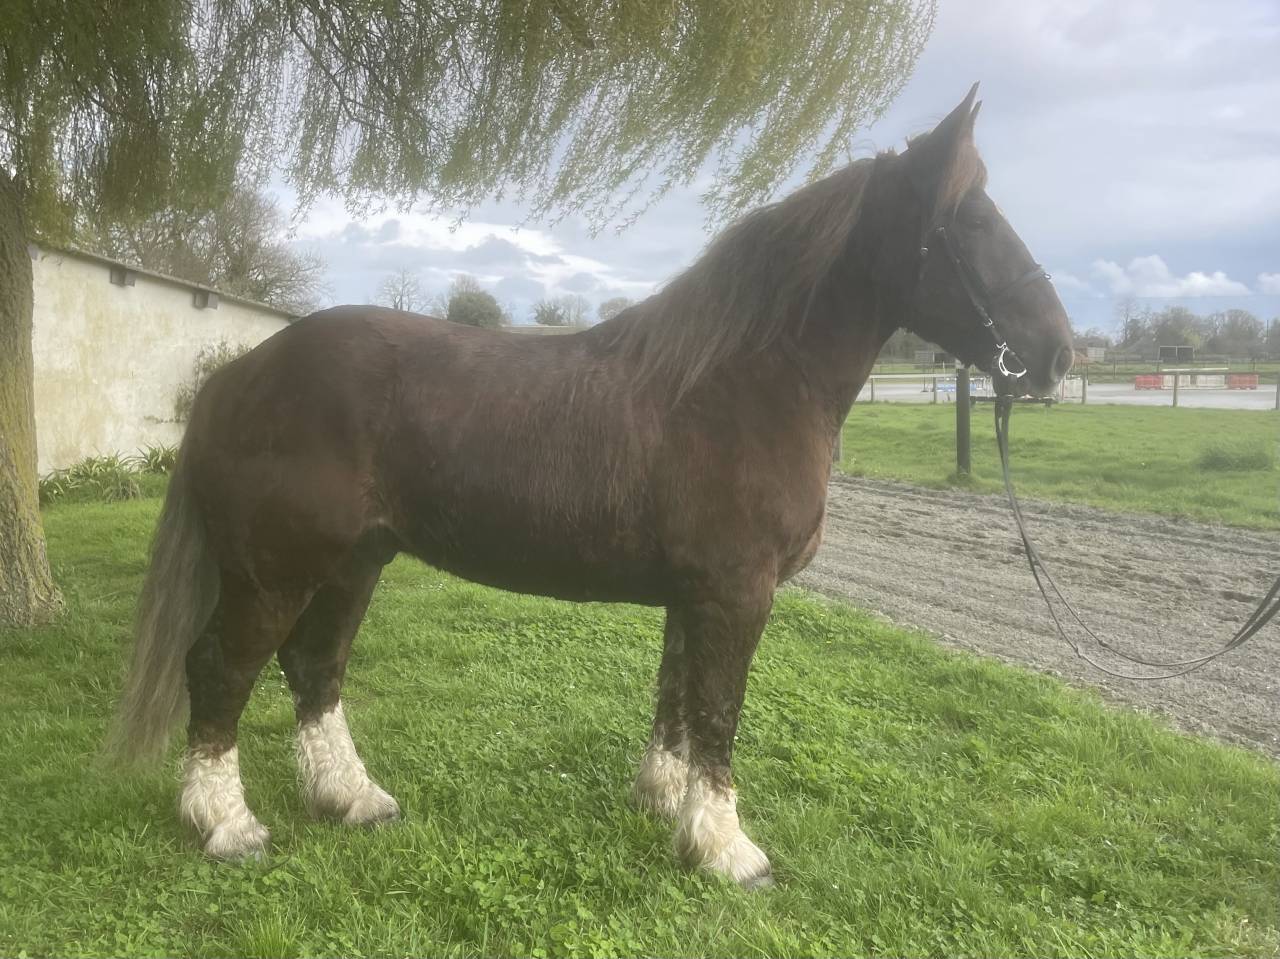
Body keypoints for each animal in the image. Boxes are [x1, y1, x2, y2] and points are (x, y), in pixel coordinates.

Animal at [110, 85, 1073, 888]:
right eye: (971, 219)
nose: (1058, 352)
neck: (742, 384)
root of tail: (238, 376)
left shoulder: (696, 594)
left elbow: (677, 700)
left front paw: (668, 804)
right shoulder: (737, 593)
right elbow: (718, 712)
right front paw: (728, 849)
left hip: (354, 563)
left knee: (314, 668)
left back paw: (353, 798)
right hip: (276, 571)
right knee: (220, 670)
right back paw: (227, 824)